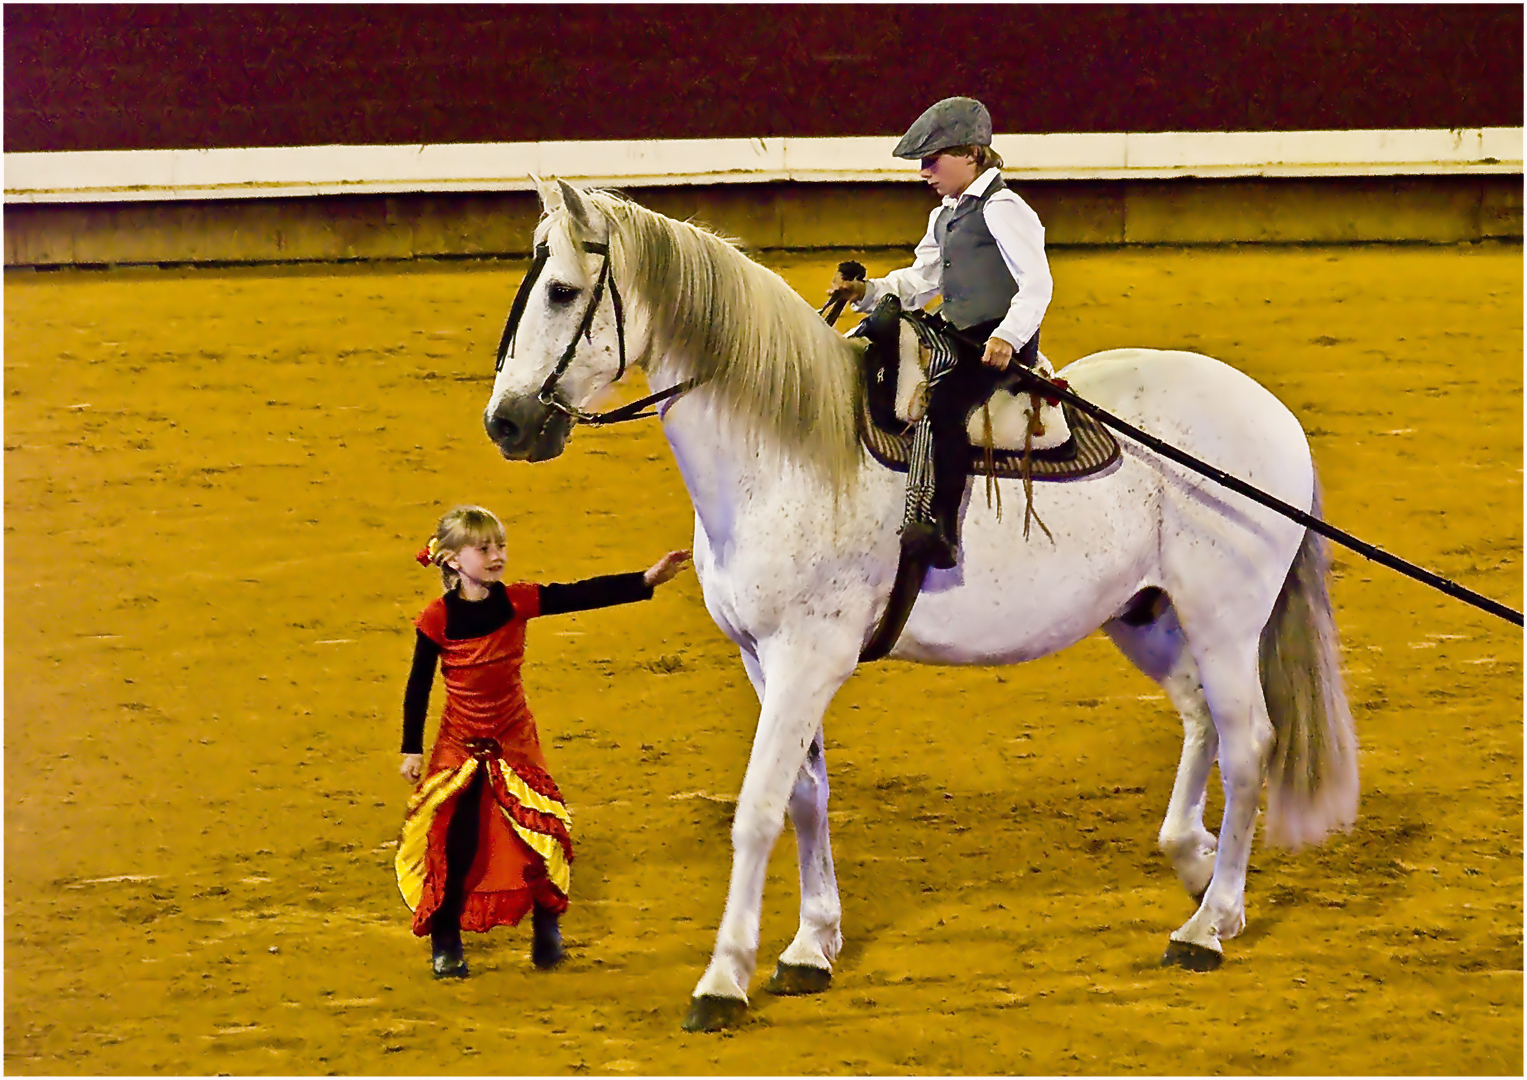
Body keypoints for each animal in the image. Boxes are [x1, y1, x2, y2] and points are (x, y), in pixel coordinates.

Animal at [482, 181, 1355, 1032]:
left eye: (561, 291)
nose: (506, 424)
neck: (790, 448)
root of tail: (1273, 416)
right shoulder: (763, 659)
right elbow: (805, 795)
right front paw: (811, 946)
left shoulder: (807, 660)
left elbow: (760, 806)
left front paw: (723, 980)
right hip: (1144, 617)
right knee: (1200, 718)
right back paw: (1196, 869)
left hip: (1223, 623)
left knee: (1248, 744)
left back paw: (1208, 925)